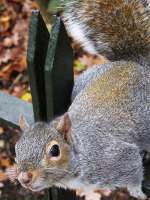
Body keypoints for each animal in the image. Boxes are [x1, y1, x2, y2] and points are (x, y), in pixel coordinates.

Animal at [12, 0, 150, 199]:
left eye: (55, 150)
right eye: (17, 149)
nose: (24, 178)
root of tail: (137, 65)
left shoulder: (120, 157)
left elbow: (134, 173)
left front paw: (136, 191)